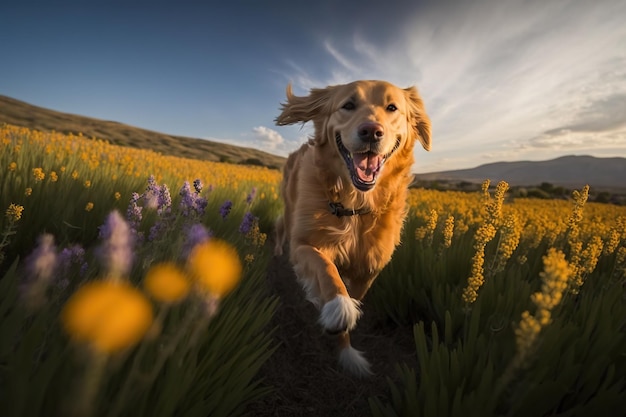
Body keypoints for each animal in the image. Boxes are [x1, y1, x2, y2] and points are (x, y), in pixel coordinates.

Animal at [272, 79, 428, 376]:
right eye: (348, 105)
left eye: (392, 108)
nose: (371, 131)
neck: (355, 206)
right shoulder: (304, 244)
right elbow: (326, 268)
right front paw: (338, 306)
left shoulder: (368, 271)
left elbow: (352, 307)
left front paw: (347, 352)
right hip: (288, 209)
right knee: (281, 229)